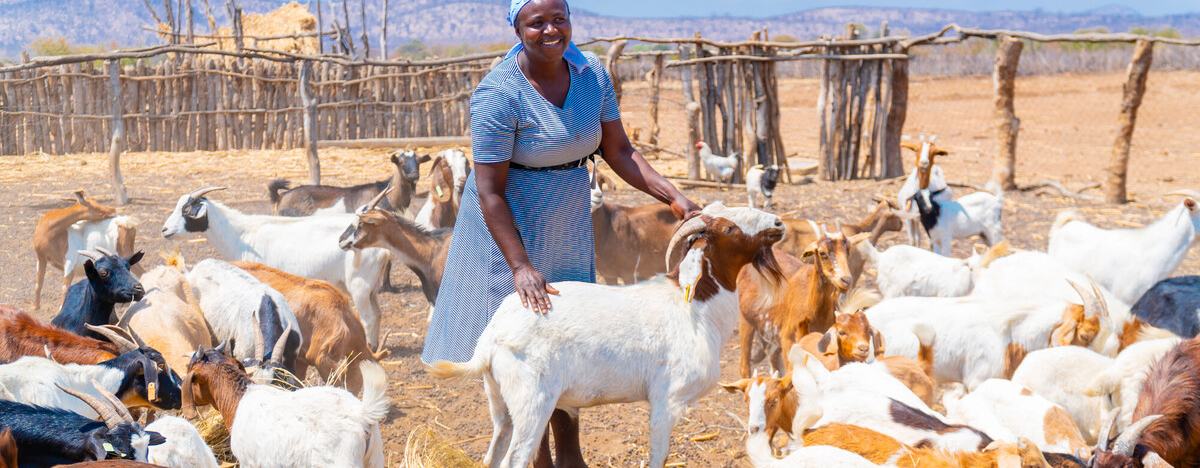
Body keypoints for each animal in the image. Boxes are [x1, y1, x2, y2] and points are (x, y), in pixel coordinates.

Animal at [161, 186, 392, 348]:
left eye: (187, 210)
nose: (164, 230)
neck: (242, 234)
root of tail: (384, 250)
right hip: (370, 288)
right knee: (378, 314)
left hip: (359, 286)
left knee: (368, 318)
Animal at [429, 203, 785, 468]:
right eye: (729, 229)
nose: (778, 223)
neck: (695, 306)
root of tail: (491, 337)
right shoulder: (666, 400)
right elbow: (659, 457)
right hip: (532, 402)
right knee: (514, 458)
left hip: (500, 401)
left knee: (494, 451)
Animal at [736, 221, 866, 377]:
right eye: (822, 253)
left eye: (848, 251)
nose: (846, 280)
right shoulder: (788, 338)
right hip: (746, 320)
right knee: (745, 366)